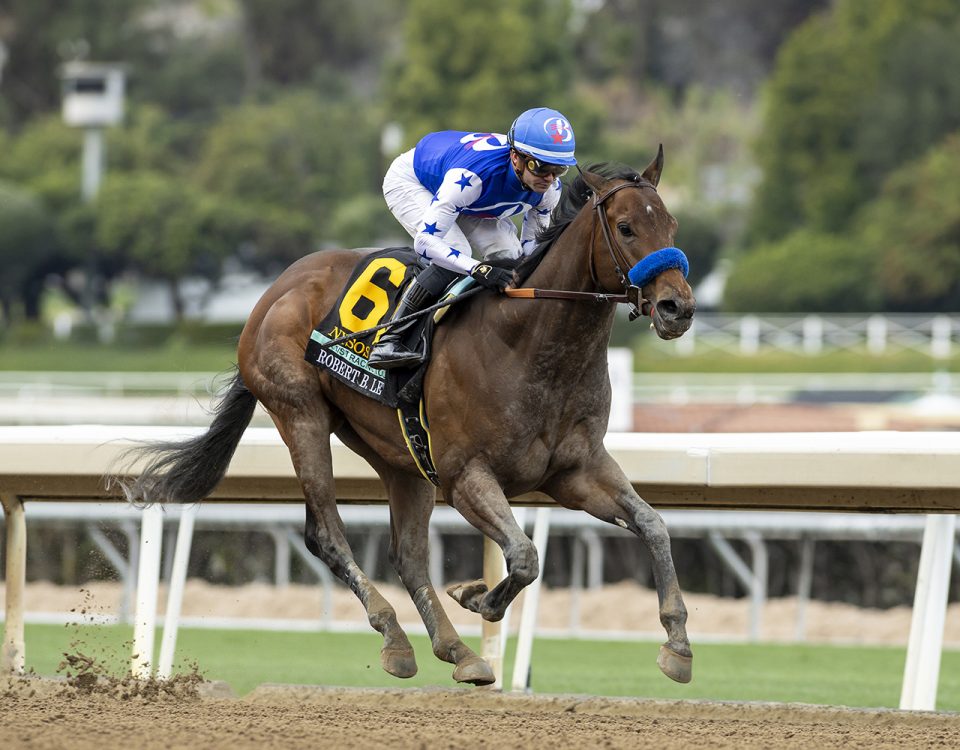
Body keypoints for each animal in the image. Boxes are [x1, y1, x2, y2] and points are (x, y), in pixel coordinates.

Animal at [125, 154, 696, 692]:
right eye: (626, 227)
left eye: (671, 225)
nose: (678, 307)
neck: (529, 341)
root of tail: (274, 290)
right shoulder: (466, 476)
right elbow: (524, 556)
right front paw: (477, 596)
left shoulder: (575, 471)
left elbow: (653, 525)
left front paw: (678, 643)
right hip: (300, 413)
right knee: (325, 534)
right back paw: (395, 637)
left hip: (399, 454)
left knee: (409, 555)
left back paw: (458, 652)